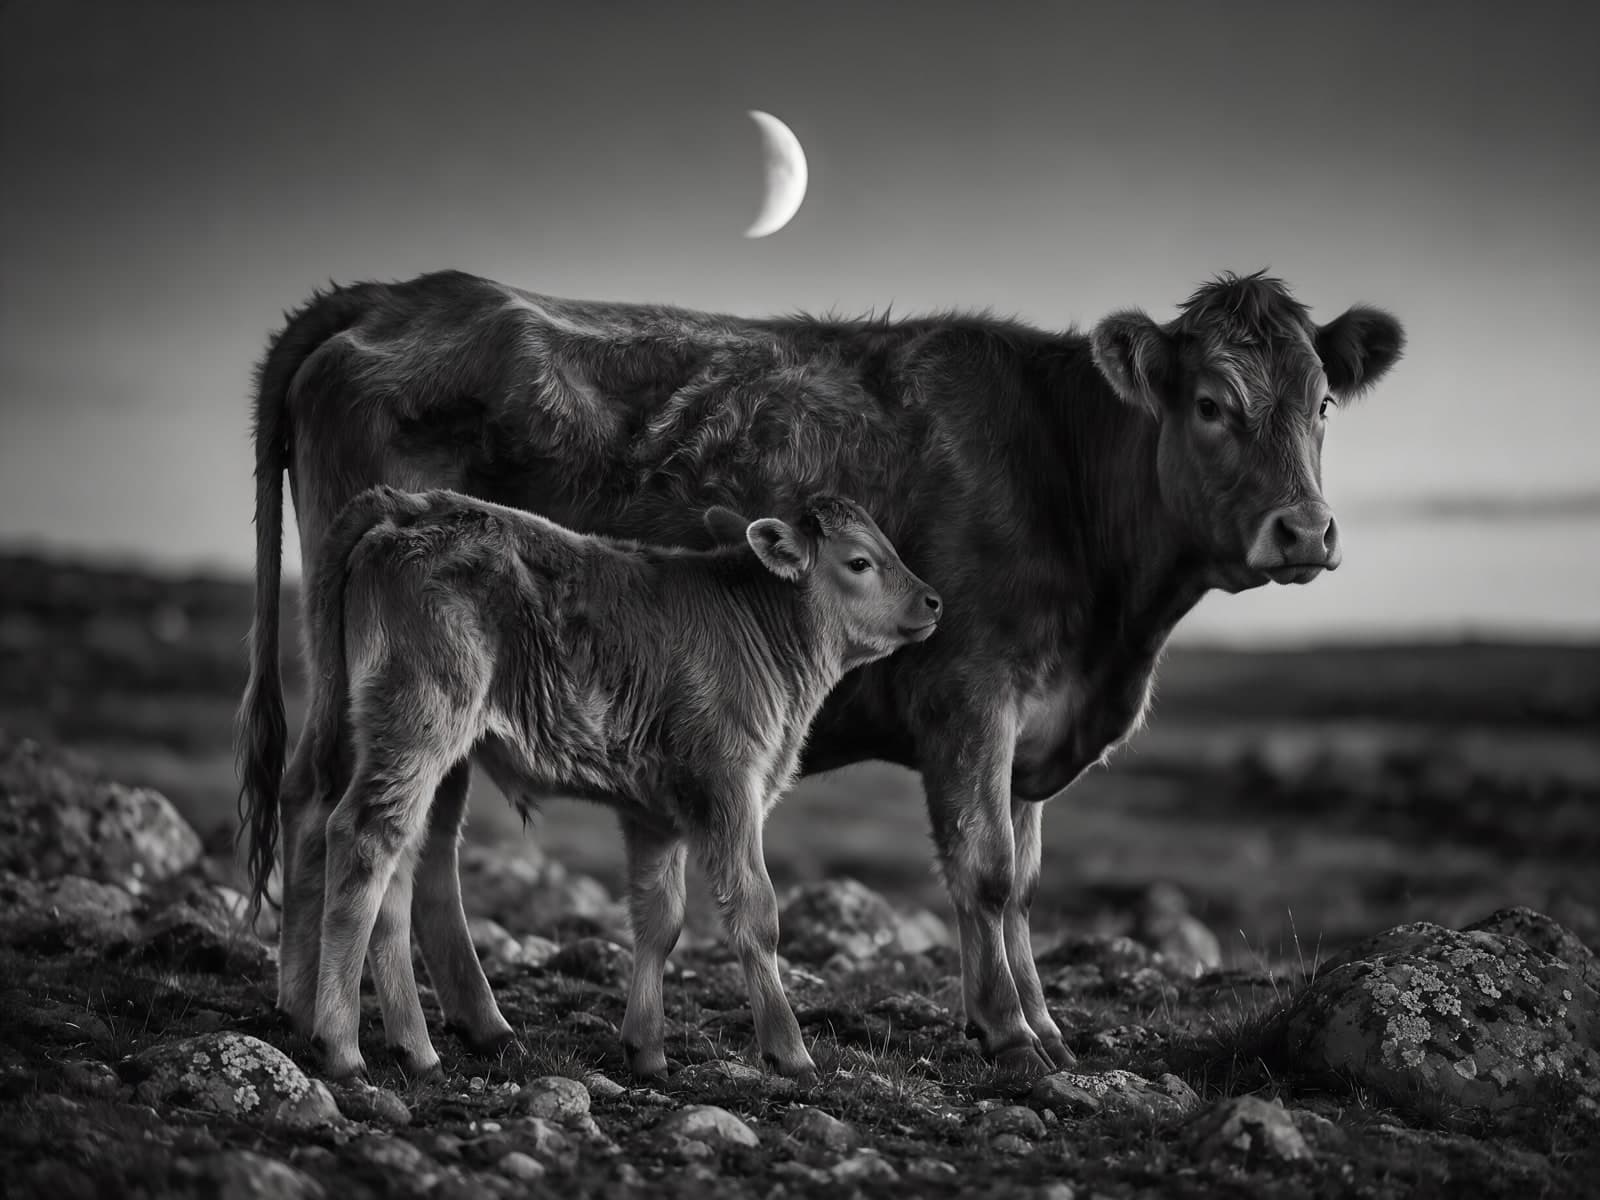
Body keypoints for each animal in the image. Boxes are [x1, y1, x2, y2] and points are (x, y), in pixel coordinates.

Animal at [290, 483, 939, 1080]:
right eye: (860, 561)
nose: (932, 601)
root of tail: (412, 504)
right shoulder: (729, 786)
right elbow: (757, 916)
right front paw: (790, 1049)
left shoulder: (655, 812)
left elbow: (660, 921)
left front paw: (646, 1050)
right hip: (421, 721)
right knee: (365, 840)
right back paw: (342, 1045)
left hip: (400, 744)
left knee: (394, 865)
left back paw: (414, 1048)